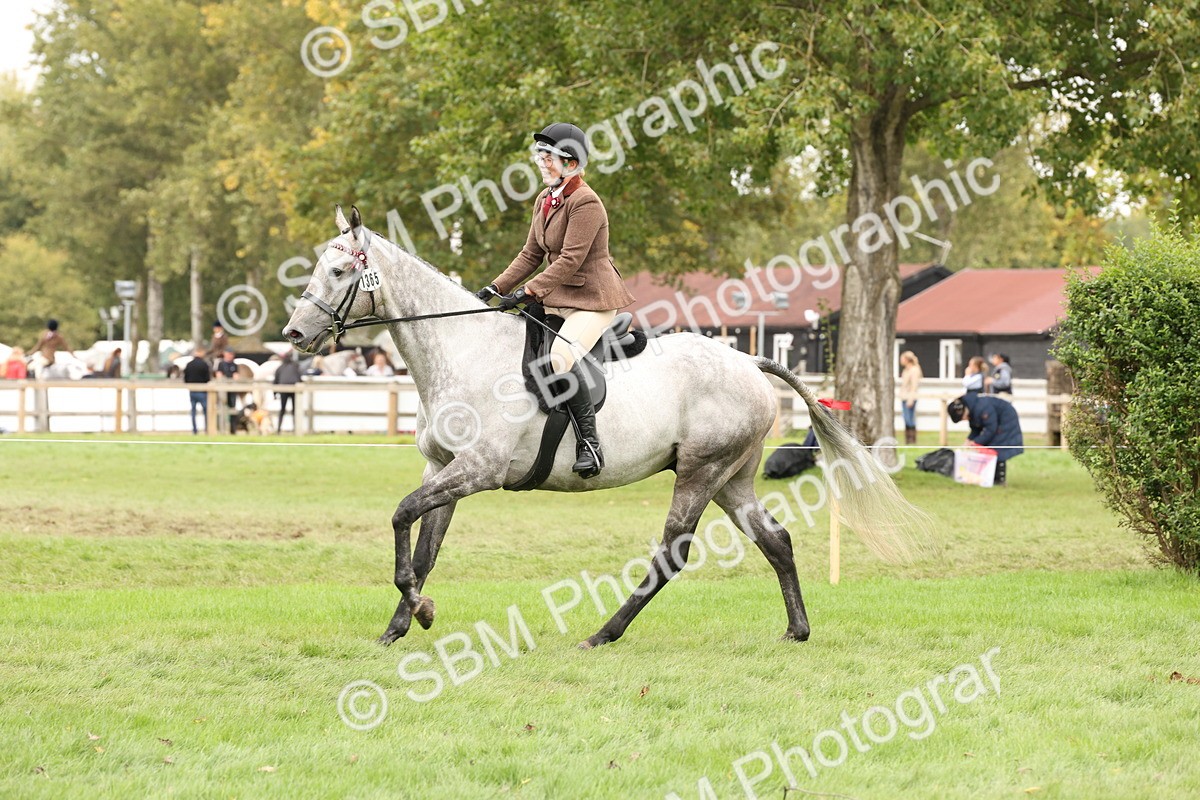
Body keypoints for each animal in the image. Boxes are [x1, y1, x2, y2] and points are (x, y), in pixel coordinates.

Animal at [283, 206, 928, 648]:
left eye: (338, 270)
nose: (293, 334)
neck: (460, 348)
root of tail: (747, 360)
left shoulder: (476, 471)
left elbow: (400, 518)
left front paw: (421, 612)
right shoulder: (442, 468)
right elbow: (423, 549)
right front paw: (401, 624)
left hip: (701, 472)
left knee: (672, 553)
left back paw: (602, 633)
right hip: (731, 479)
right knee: (776, 540)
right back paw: (797, 630)